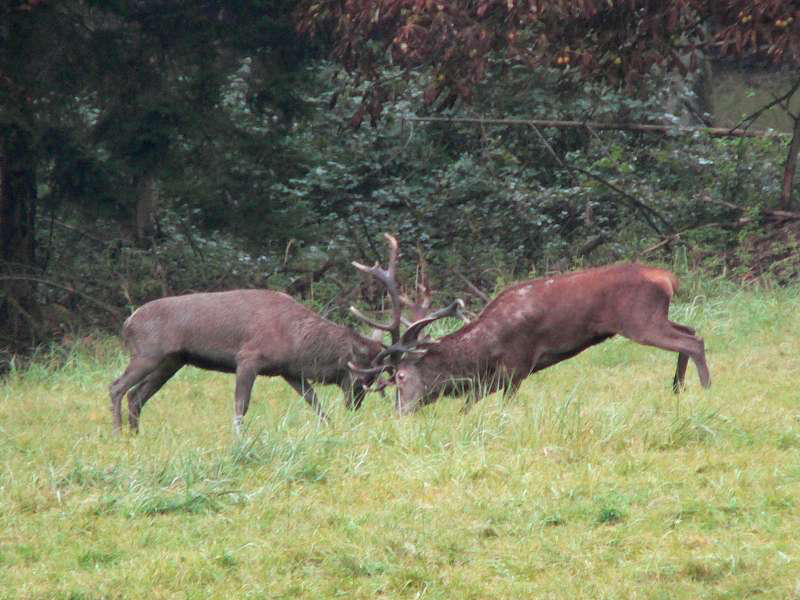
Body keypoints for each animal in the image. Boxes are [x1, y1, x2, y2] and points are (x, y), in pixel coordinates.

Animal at [108, 288, 388, 434]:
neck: (295, 343)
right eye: (363, 377)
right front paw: (239, 439)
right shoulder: (248, 358)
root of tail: (127, 323)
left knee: (136, 395)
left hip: (171, 361)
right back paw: (119, 433)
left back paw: (136, 434)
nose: (355, 407)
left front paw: (330, 427)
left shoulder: (288, 370)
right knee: (116, 386)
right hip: (147, 353)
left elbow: (313, 400)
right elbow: (241, 404)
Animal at [352, 237, 712, 414]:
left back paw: (706, 390)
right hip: (656, 316)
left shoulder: (517, 365)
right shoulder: (495, 376)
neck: (485, 349)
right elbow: (470, 404)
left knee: (693, 341)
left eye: (400, 376)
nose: (400, 413)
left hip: (639, 319)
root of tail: (668, 278)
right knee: (692, 330)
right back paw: (676, 388)